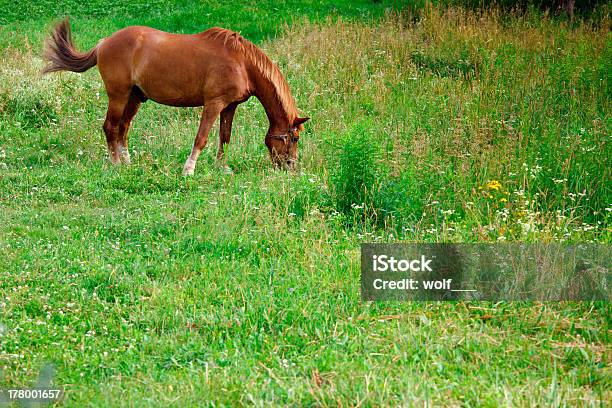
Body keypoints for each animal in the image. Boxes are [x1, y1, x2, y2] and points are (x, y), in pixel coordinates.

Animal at [42, 18, 308, 175]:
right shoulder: (213, 104)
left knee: (123, 129)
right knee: (111, 127)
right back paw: (116, 164)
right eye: (294, 138)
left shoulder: (229, 106)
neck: (242, 62)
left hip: (135, 98)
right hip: (118, 95)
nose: (291, 167)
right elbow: (202, 138)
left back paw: (127, 161)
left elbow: (225, 137)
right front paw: (189, 170)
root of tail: (104, 43)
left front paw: (222, 167)